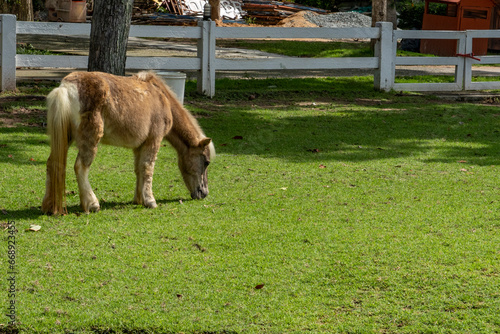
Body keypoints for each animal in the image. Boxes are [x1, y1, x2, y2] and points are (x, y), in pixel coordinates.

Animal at [42, 71, 214, 215]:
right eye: (206, 162)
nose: (204, 193)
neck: (161, 97)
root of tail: (65, 87)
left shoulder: (139, 146)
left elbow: (139, 169)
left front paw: (139, 199)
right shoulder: (153, 141)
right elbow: (148, 168)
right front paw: (150, 200)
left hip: (66, 139)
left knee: (53, 164)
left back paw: (49, 206)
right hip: (90, 141)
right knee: (80, 167)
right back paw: (92, 204)